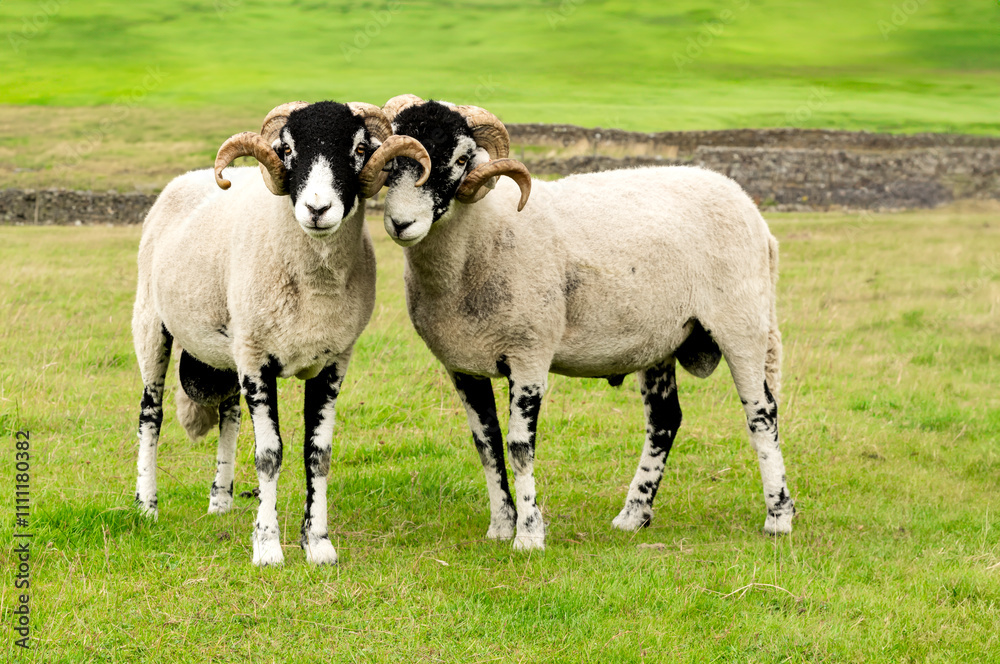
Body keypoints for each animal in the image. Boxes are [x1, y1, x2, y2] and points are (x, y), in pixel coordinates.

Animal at [131, 100, 431, 565]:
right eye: (287, 148)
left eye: (360, 148)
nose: (317, 209)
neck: (314, 286)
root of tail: (187, 177)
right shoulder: (257, 360)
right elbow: (269, 455)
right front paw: (268, 545)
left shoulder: (333, 361)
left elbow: (318, 454)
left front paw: (318, 543)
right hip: (151, 322)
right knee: (151, 413)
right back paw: (147, 505)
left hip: (227, 349)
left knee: (229, 415)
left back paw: (221, 500)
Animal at [377, 96, 794, 551]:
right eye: (390, 159)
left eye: (461, 159)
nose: (400, 223)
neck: (481, 236)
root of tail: (750, 208)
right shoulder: (462, 366)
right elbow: (486, 445)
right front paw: (501, 526)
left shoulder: (530, 354)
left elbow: (519, 447)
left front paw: (529, 534)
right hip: (661, 339)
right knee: (664, 420)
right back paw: (633, 515)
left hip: (742, 323)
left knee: (762, 412)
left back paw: (778, 517)